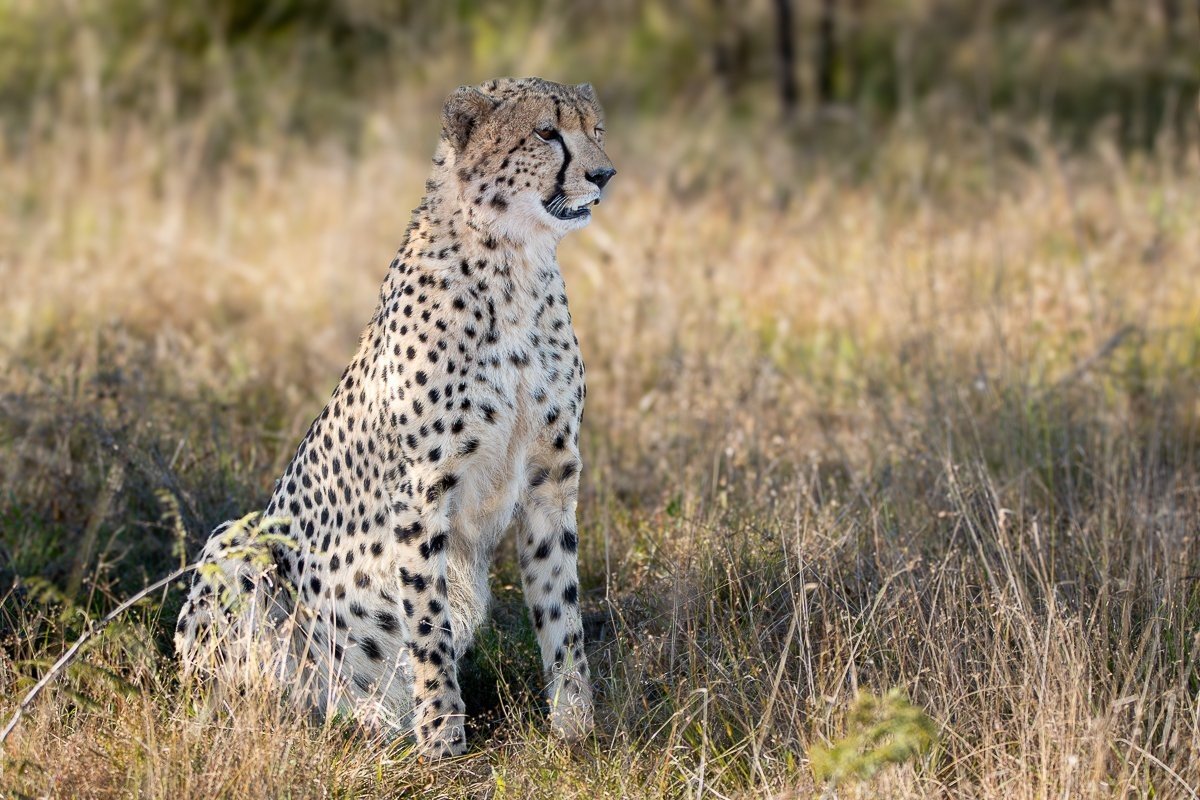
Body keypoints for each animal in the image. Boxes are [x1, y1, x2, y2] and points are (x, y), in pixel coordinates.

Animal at [174, 77, 615, 759]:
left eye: (594, 129)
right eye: (546, 132)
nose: (603, 173)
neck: (515, 265)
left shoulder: (552, 477)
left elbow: (561, 609)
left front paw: (576, 728)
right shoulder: (420, 489)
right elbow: (428, 622)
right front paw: (443, 742)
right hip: (240, 543)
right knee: (251, 693)